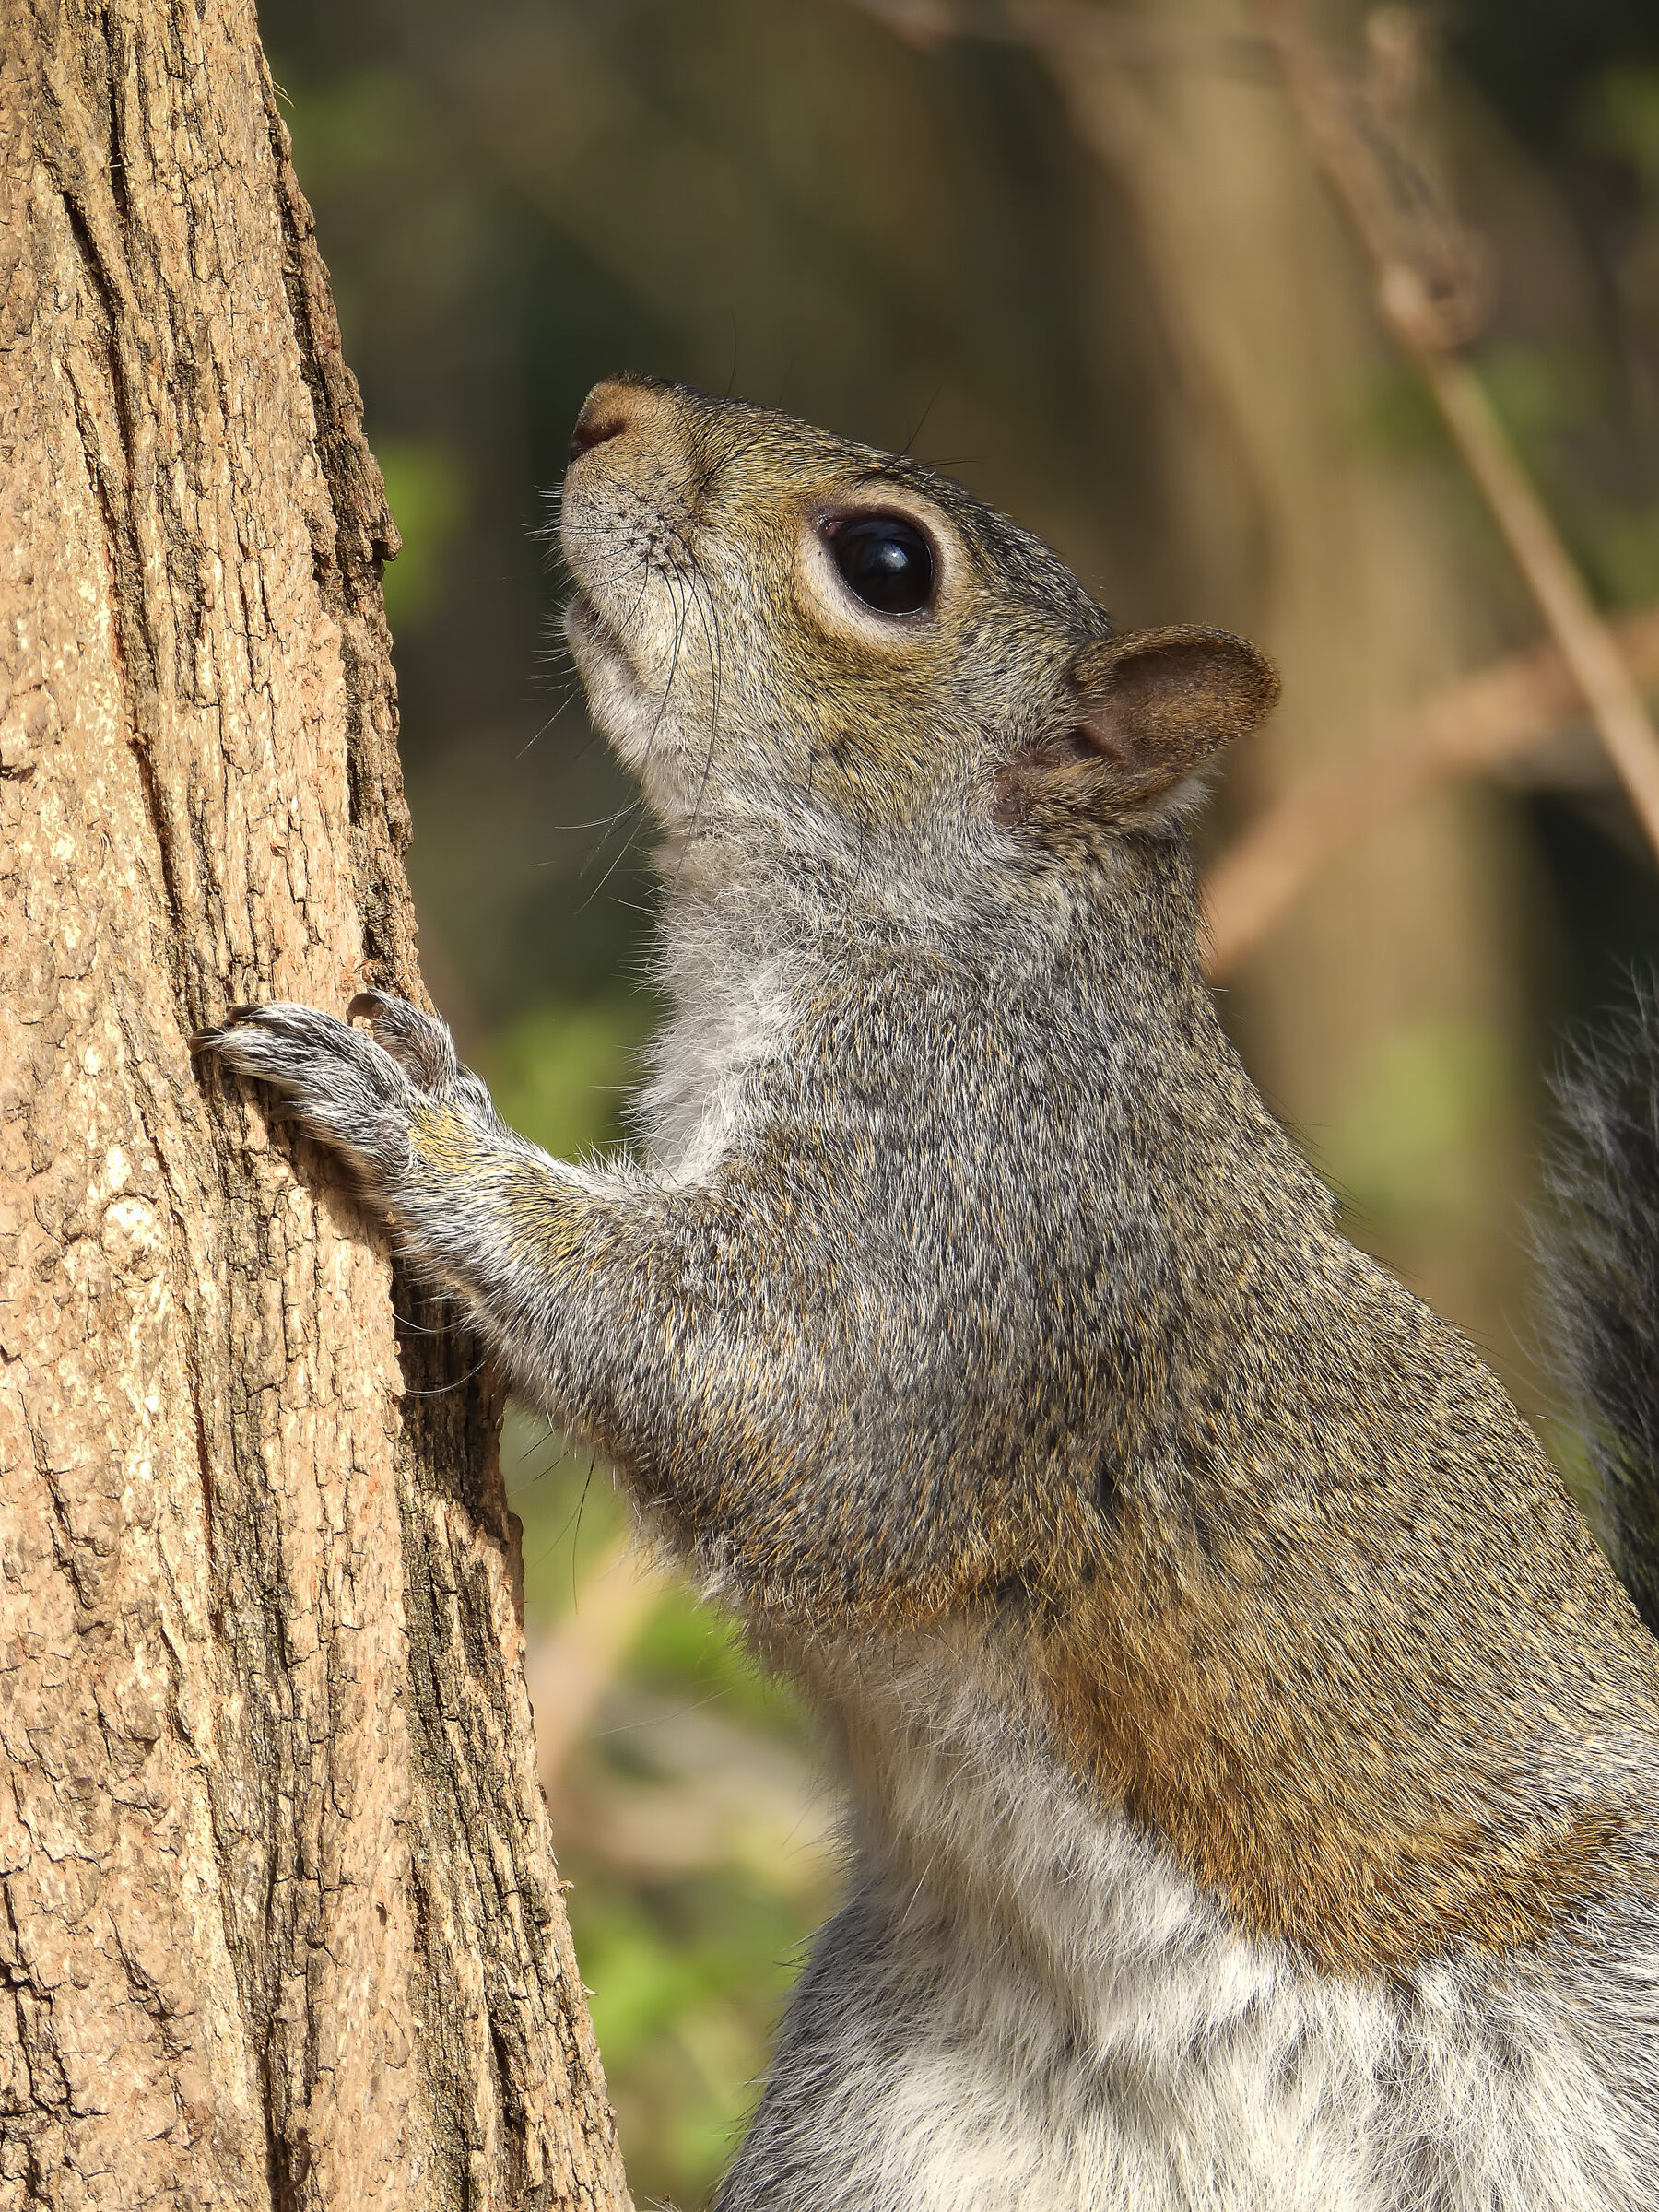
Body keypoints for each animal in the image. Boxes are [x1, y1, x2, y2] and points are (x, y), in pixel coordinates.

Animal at [198, 374, 1659, 2210]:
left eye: (887, 563)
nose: (608, 407)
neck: (949, 942)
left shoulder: (968, 1229)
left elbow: (751, 1393)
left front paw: (414, 1125)